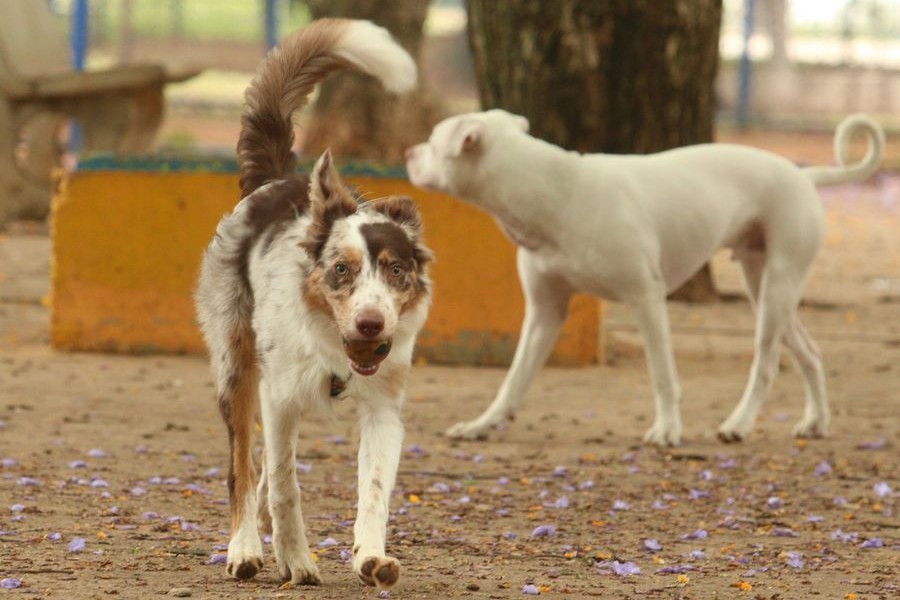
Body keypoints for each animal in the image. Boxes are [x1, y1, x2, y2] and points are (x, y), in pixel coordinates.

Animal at [196, 19, 432, 592]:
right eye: (341, 269)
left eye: (395, 270)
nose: (371, 323)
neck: (333, 348)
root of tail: (276, 179)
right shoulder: (278, 398)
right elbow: (283, 483)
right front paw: (297, 560)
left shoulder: (383, 410)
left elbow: (374, 490)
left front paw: (371, 557)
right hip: (236, 368)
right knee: (243, 468)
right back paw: (245, 547)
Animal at [408, 109, 884, 446]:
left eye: (432, 140)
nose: (410, 153)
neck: (556, 193)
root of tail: (804, 174)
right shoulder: (545, 313)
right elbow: (513, 379)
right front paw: (482, 424)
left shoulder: (647, 299)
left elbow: (662, 374)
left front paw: (668, 429)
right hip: (763, 287)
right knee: (811, 354)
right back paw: (816, 421)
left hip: (776, 290)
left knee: (765, 365)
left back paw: (739, 424)